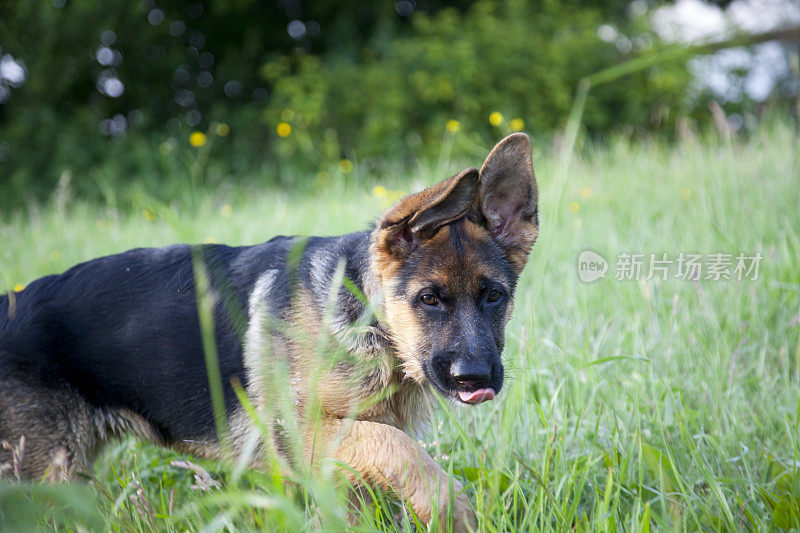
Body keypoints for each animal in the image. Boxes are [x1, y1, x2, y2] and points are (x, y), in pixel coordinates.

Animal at [1, 132, 536, 528]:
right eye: (429, 299)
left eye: (494, 297)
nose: (476, 379)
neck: (367, 319)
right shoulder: (301, 432)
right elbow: (402, 450)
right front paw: (452, 511)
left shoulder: (345, 455)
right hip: (42, 473)